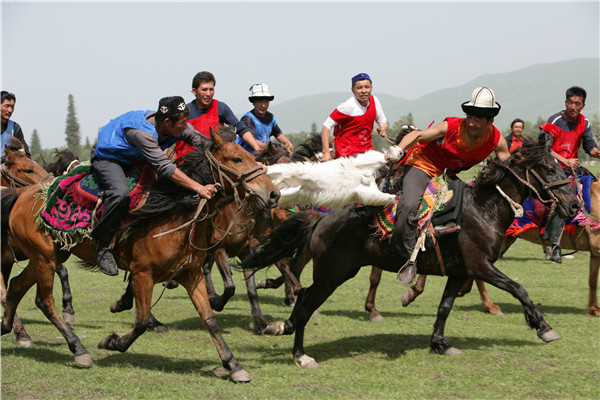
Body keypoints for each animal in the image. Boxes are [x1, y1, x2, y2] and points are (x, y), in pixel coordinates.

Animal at [0, 132, 278, 382]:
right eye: (237, 159)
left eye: (252, 156)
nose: (273, 194)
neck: (173, 213)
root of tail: (22, 195)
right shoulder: (143, 273)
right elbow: (142, 321)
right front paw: (112, 342)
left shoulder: (191, 274)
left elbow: (209, 319)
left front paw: (233, 364)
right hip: (45, 258)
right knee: (45, 301)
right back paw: (78, 348)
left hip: (50, 257)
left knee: (16, 287)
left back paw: (9, 328)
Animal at [241, 138, 584, 368]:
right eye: (549, 168)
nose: (574, 205)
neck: (482, 209)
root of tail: (321, 218)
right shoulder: (481, 266)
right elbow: (518, 288)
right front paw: (544, 327)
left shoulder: (460, 271)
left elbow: (444, 308)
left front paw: (440, 343)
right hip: (332, 275)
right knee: (305, 304)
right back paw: (300, 353)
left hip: (336, 273)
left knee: (302, 297)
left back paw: (287, 334)